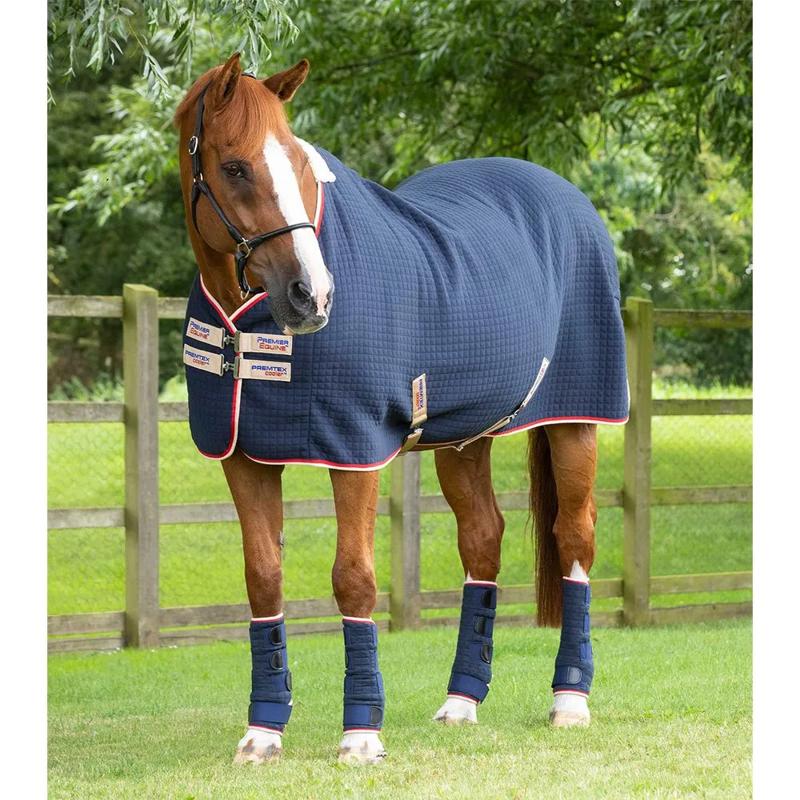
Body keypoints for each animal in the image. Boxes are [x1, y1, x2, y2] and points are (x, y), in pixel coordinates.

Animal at [173, 53, 629, 765]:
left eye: (300, 164)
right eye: (237, 167)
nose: (312, 295)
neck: (245, 322)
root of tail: (567, 195)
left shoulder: (354, 449)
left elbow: (354, 578)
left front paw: (361, 733)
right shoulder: (242, 456)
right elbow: (263, 578)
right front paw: (263, 731)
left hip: (577, 421)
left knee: (575, 538)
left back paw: (570, 700)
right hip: (464, 437)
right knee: (483, 540)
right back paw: (462, 701)